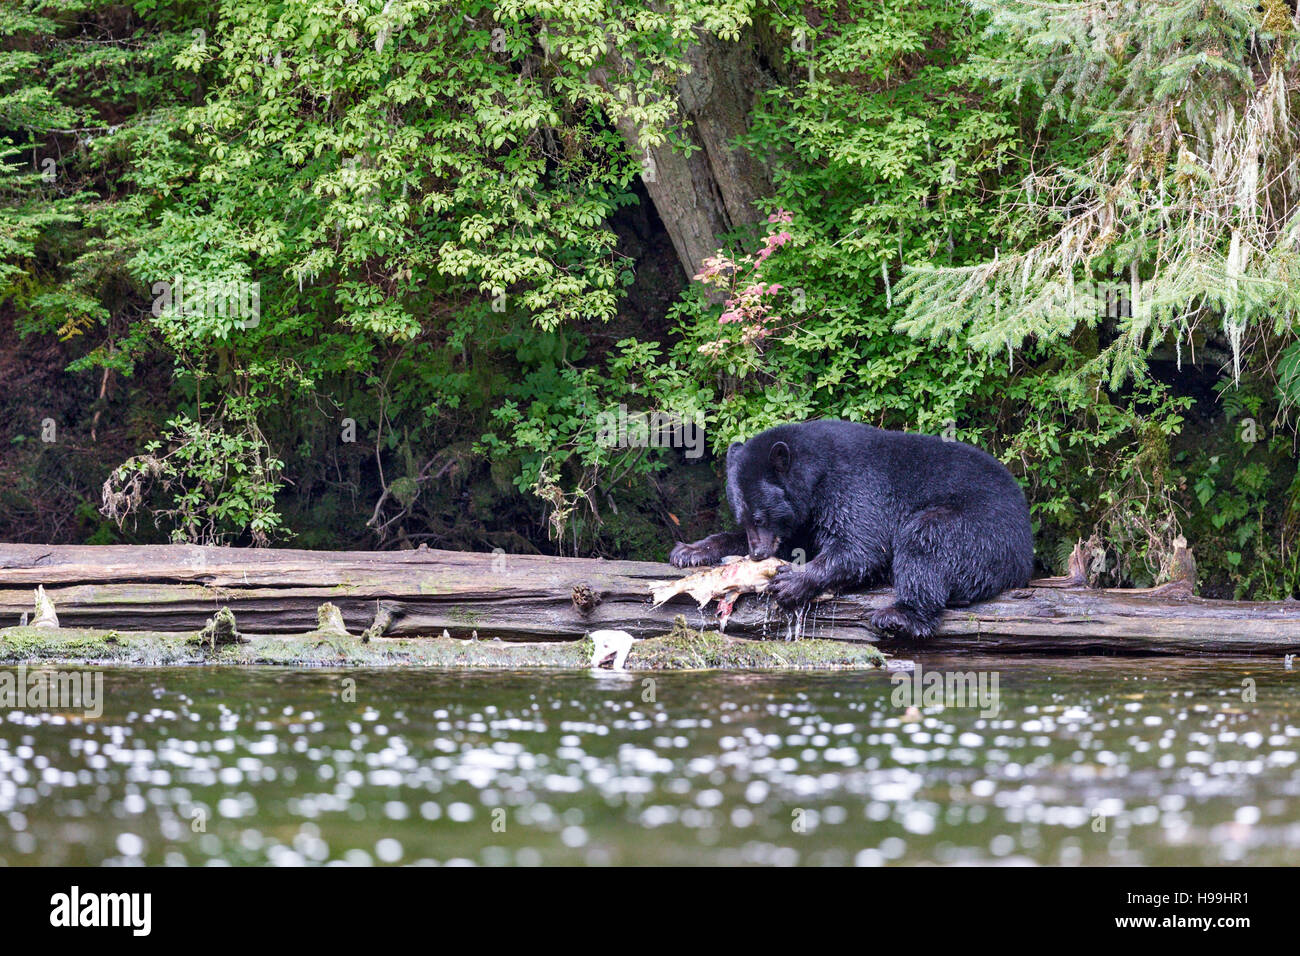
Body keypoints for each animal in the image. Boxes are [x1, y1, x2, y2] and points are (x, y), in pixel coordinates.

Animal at [670, 421, 1034, 639]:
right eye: (743, 517)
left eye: (761, 517)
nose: (758, 553)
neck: (814, 476)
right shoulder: (805, 517)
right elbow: (795, 541)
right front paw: (689, 551)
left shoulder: (852, 484)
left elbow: (861, 544)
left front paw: (791, 581)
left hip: (980, 528)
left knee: (927, 537)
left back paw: (900, 615)